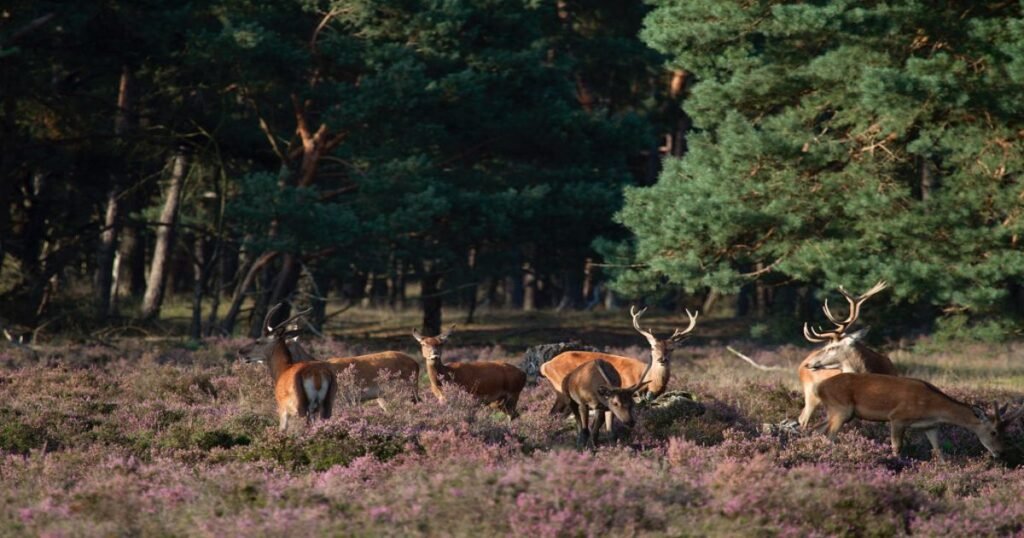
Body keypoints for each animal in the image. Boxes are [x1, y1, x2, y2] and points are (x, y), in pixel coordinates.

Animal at [811, 370, 1019, 459]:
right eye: (993, 432)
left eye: (1006, 431)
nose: (1001, 452)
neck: (932, 409)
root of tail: (819, 387)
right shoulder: (897, 417)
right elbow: (897, 446)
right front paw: (898, 465)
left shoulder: (931, 426)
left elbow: (938, 449)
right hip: (842, 408)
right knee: (830, 435)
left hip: (836, 411)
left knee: (817, 429)